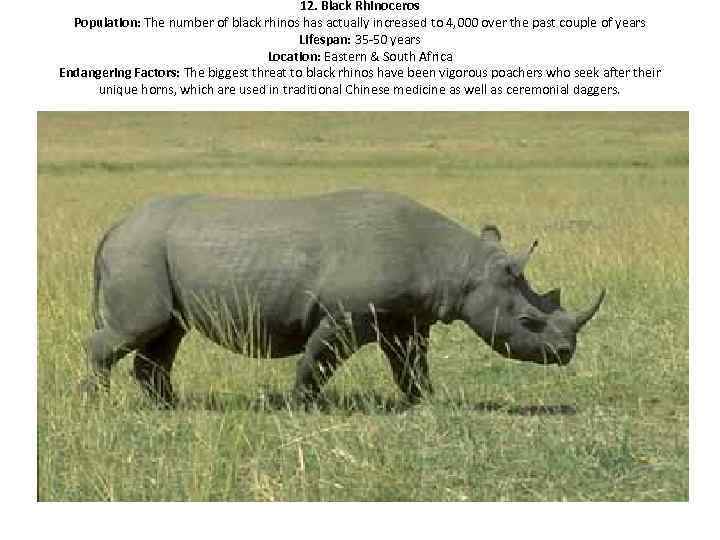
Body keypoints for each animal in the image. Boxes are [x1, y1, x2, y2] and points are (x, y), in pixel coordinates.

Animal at [81, 189, 605, 406]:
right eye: (528, 321)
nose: (565, 353)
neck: (462, 267)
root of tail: (114, 227)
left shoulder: (405, 319)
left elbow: (411, 364)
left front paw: (426, 401)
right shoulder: (345, 315)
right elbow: (318, 359)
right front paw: (301, 404)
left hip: (152, 252)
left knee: (165, 334)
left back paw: (169, 407)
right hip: (141, 251)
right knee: (139, 328)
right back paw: (97, 406)